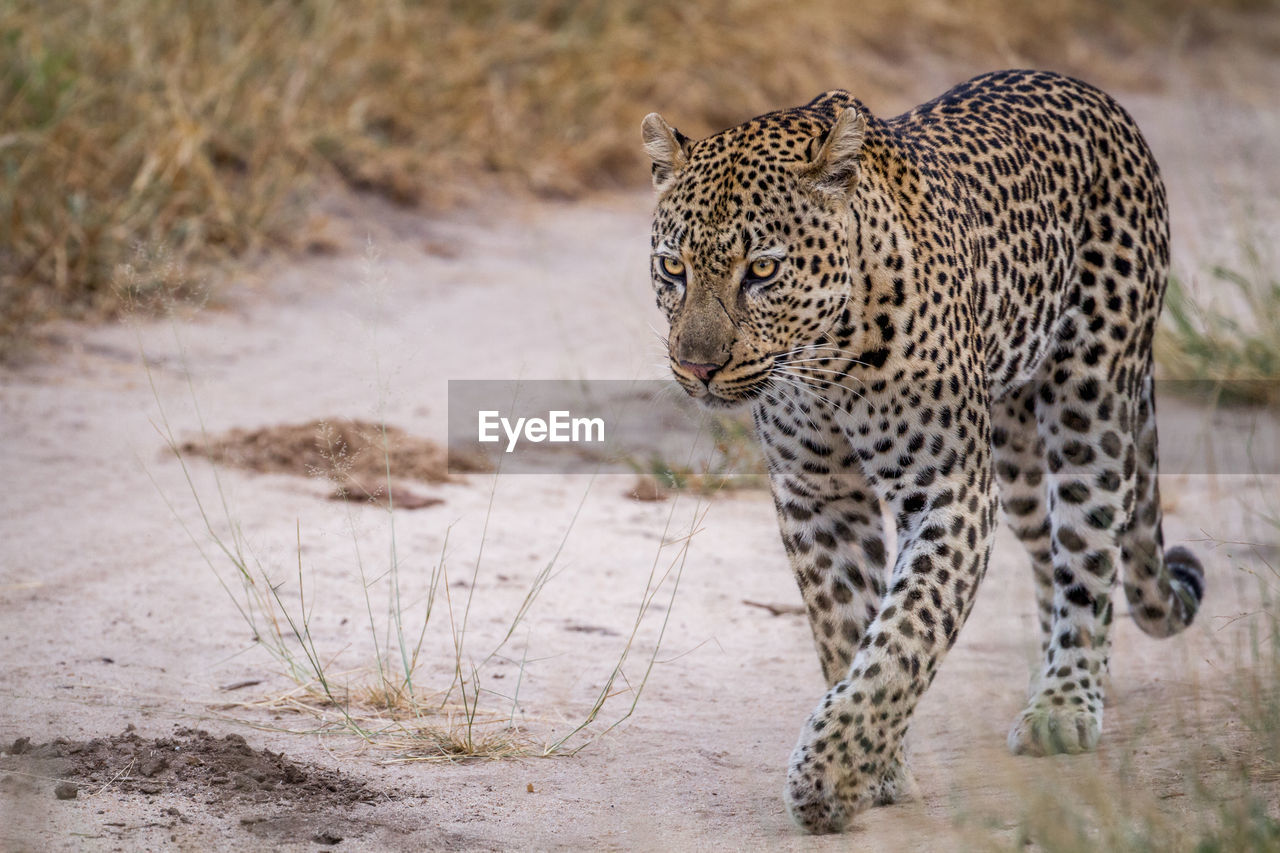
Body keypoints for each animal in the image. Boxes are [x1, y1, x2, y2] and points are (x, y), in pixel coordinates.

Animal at [640, 71, 1208, 829]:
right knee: (1051, 556)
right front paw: (874, 769)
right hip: (1016, 458)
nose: (697, 365)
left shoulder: (949, 489)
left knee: (1090, 555)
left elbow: (907, 632)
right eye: (672, 267)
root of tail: (1095, 95)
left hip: (1089, 405)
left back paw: (1063, 703)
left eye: (761, 271)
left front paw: (828, 774)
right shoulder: (818, 495)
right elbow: (849, 627)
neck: (824, 358)